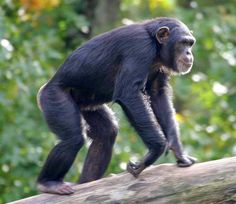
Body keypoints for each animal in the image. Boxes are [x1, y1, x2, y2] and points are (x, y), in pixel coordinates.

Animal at [37, 17, 196, 194]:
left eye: (190, 43)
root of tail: (44, 88)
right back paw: (48, 183)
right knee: (72, 139)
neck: (156, 46)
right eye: (183, 43)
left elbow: (158, 94)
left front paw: (178, 150)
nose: (189, 53)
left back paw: (85, 182)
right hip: (54, 98)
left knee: (107, 132)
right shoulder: (139, 48)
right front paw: (154, 152)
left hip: (87, 105)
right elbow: (129, 93)